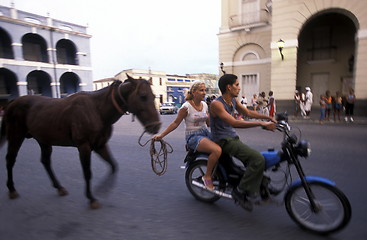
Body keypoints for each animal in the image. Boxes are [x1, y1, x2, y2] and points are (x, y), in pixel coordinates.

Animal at [0, 75, 161, 208]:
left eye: (154, 96)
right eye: (143, 96)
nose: (156, 126)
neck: (97, 110)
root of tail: (12, 103)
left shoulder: (100, 145)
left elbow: (113, 166)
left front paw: (102, 189)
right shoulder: (84, 146)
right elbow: (88, 172)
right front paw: (91, 197)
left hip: (43, 140)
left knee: (45, 161)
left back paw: (59, 187)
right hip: (16, 136)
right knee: (10, 159)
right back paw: (12, 189)